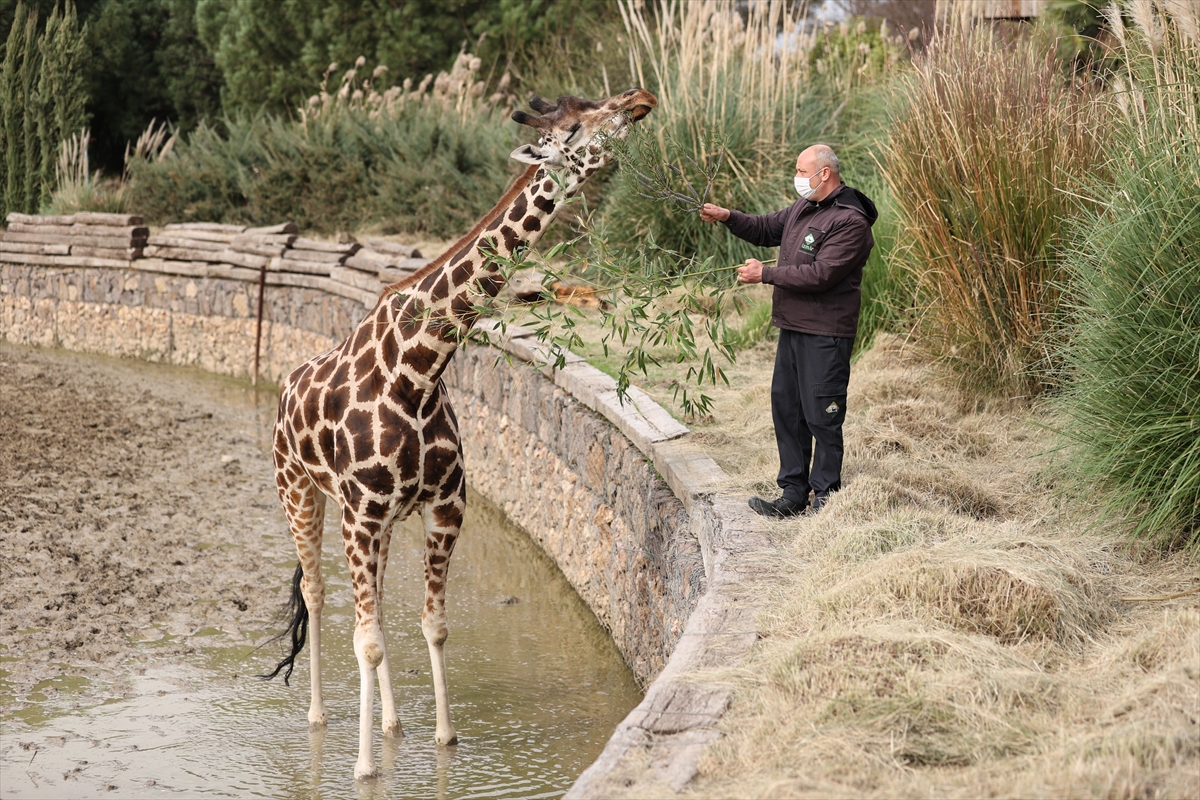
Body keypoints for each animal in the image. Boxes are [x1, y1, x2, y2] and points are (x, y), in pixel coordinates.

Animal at [262, 89, 662, 782]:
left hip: (378, 522)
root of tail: (286, 385)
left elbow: (432, 625)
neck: (419, 369)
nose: (639, 100)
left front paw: (442, 740)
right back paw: (317, 717)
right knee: (315, 593)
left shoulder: (443, 505)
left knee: (378, 603)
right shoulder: (361, 514)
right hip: (301, 494)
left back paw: (393, 723)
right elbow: (366, 639)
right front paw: (364, 768)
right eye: (574, 127)